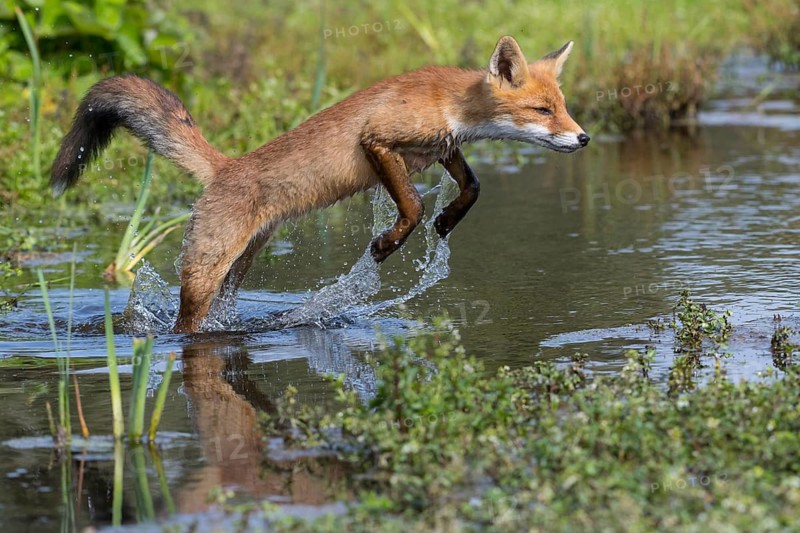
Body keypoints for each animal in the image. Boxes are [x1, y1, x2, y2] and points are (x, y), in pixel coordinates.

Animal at [51, 35, 589, 333]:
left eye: (562, 106)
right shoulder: (377, 141)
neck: (448, 102)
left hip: (238, 267)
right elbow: (412, 207)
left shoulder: (441, 148)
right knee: (186, 325)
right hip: (205, 270)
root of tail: (224, 166)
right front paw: (387, 244)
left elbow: (474, 187)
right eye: (542, 111)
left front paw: (447, 221)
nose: (583, 138)